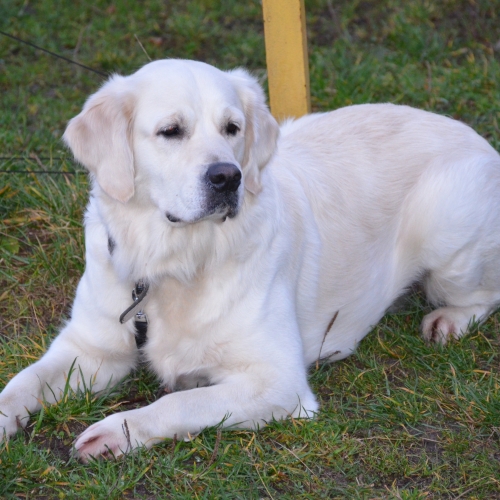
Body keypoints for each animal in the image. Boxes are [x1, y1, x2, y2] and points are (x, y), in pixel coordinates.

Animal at [0, 59, 500, 460]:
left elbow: (179, 401)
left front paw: (117, 432)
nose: (228, 176)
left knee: (484, 293)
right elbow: (23, 381)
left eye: (232, 128)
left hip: (445, 230)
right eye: (170, 131)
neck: (174, 261)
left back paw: (448, 321)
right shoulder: (89, 349)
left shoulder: (277, 381)